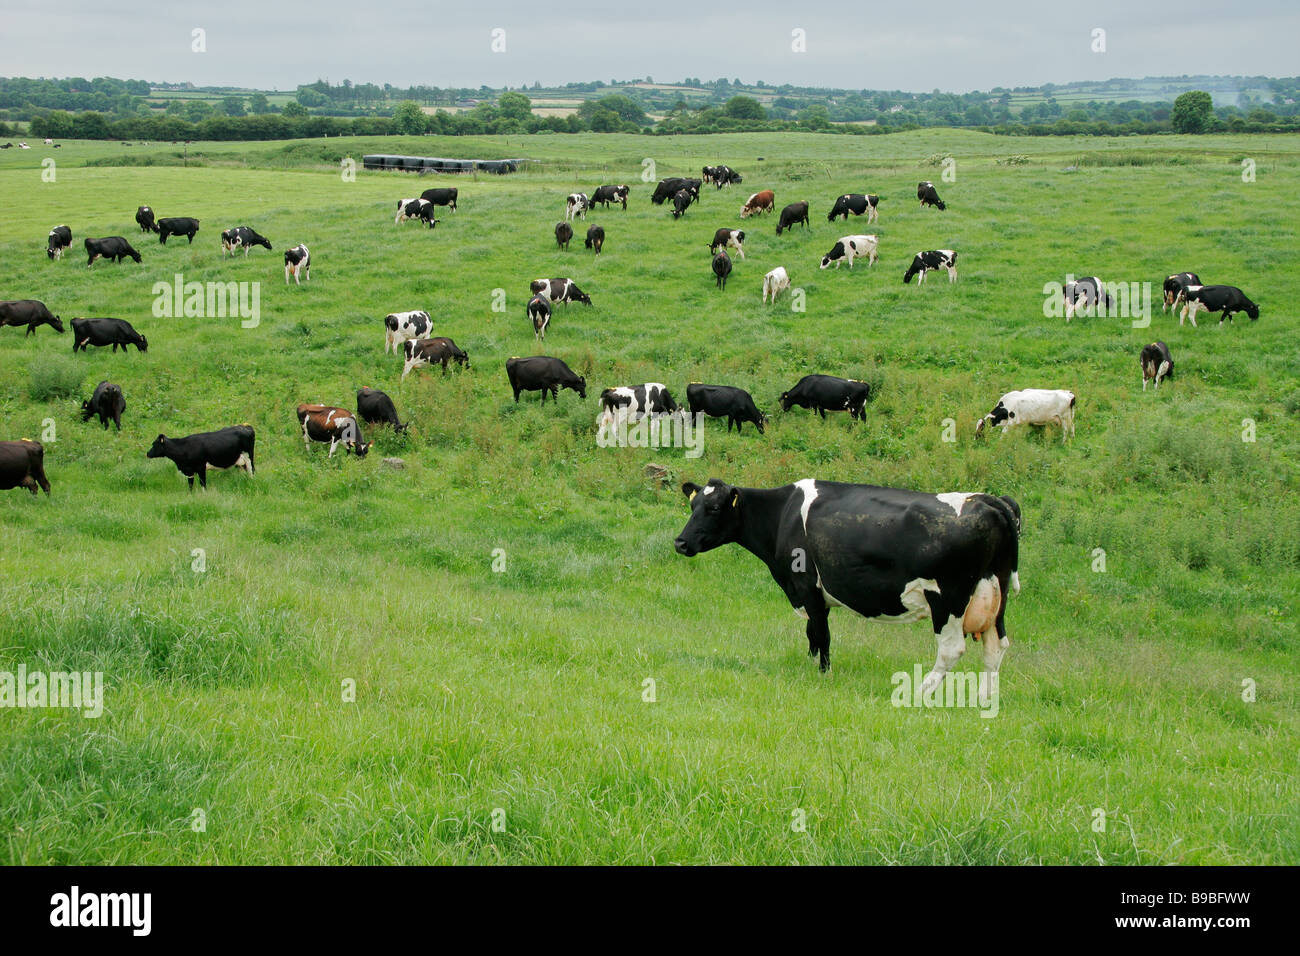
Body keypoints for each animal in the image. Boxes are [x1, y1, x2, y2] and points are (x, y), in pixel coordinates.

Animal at [673, 477, 1021, 690]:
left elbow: (821, 634)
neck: (782, 514)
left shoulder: (807, 587)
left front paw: (823, 674)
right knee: (995, 648)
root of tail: (989, 500)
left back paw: (922, 692)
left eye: (713, 508)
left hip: (947, 597)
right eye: (692, 506)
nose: (680, 542)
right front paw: (812, 665)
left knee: (951, 649)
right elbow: (812, 635)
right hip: (996, 596)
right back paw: (985, 698)